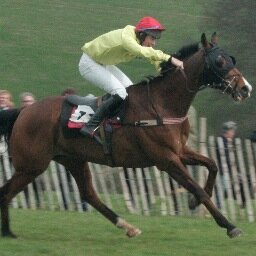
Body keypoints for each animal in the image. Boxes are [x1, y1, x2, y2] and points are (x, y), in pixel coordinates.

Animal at [0, 33, 252, 239]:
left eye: (231, 59)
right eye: (220, 61)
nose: (245, 88)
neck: (163, 104)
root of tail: (24, 111)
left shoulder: (180, 151)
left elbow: (213, 165)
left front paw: (194, 202)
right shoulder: (166, 159)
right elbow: (196, 186)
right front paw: (229, 225)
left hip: (72, 159)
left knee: (89, 194)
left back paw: (128, 227)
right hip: (31, 165)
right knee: (6, 192)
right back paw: (8, 232)